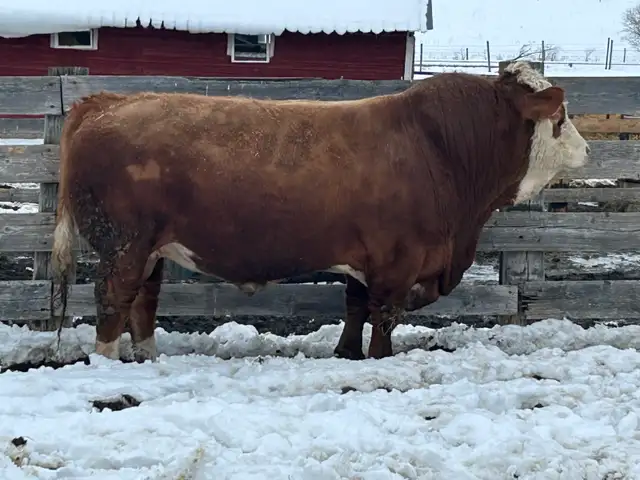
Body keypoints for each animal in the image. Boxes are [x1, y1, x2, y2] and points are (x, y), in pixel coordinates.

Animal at [50, 61, 589, 363]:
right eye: (560, 117)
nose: (586, 149)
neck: (439, 148)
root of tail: (107, 101)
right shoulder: (398, 260)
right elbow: (384, 315)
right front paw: (379, 360)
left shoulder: (367, 257)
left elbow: (355, 306)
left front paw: (346, 352)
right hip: (123, 244)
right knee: (112, 300)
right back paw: (107, 362)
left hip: (152, 249)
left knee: (144, 301)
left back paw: (146, 358)